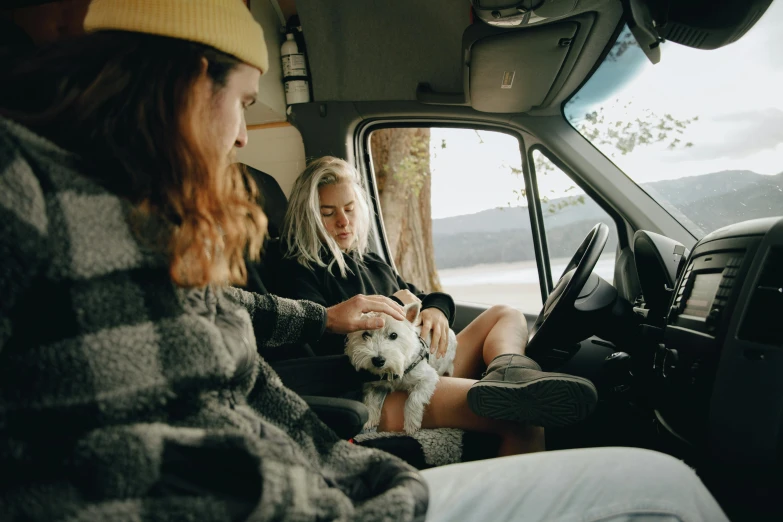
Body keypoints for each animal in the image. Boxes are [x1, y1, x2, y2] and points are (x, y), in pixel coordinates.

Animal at [344, 298, 460, 432]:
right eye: (365, 335)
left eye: (393, 335)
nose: (378, 360)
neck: (392, 371)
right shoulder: (374, 383)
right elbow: (371, 398)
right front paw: (370, 418)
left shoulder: (428, 377)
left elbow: (414, 397)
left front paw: (411, 423)